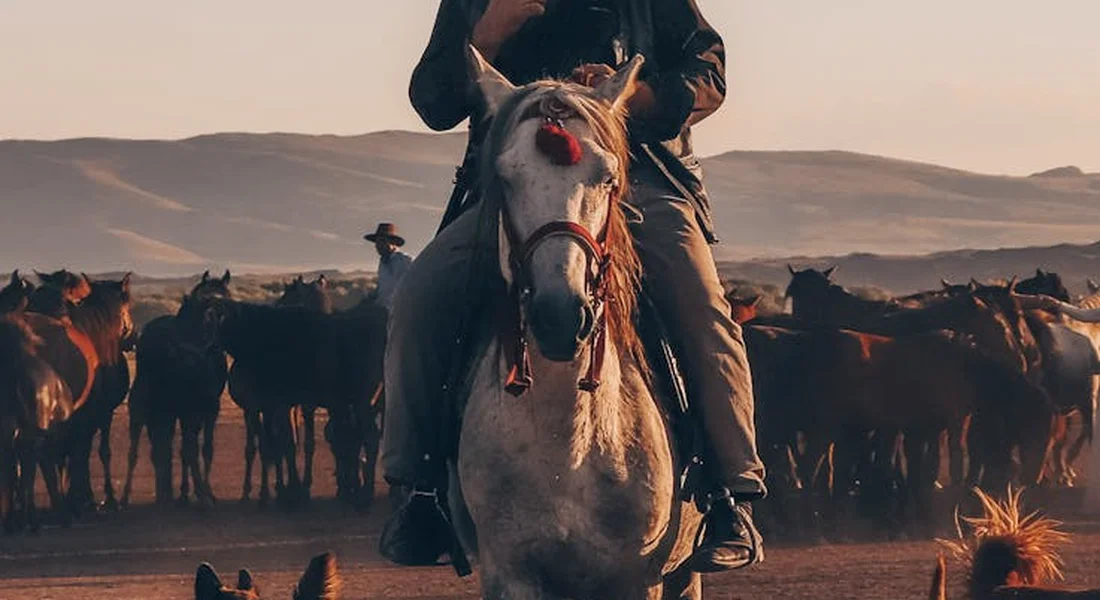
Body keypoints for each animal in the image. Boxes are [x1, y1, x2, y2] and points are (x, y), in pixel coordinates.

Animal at [0, 315, 74, 532]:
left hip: (14, 435)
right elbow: (49, 476)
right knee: (27, 473)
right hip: (31, 435)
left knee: (12, 472)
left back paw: (13, 522)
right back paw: (29, 522)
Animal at [123, 270, 231, 507]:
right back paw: (126, 497)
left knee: (164, 449)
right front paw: (202, 494)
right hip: (144, 405)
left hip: (168, 410)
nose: (215, 341)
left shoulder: (209, 406)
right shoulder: (189, 407)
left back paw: (171, 494)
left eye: (226, 299)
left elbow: (204, 449)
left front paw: (204, 492)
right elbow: (189, 450)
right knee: (137, 449)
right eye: (204, 301)